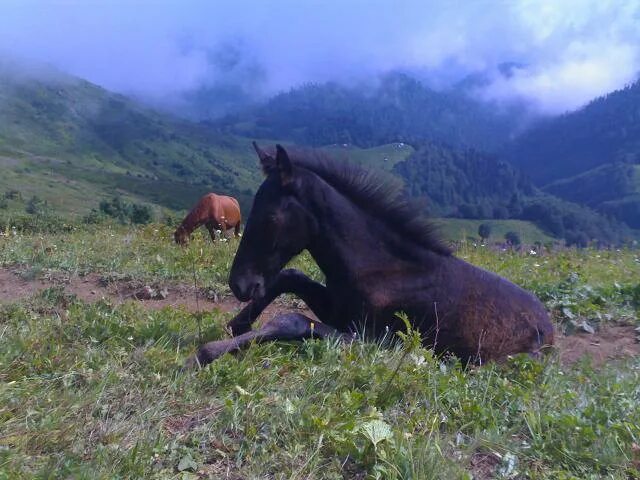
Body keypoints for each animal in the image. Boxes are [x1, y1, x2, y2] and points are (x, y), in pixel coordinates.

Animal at [186, 142, 556, 368]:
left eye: (272, 218)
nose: (240, 284)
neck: (382, 268)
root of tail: (550, 326)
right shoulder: (337, 309)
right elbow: (291, 276)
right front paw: (238, 324)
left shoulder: (375, 340)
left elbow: (293, 320)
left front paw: (208, 352)